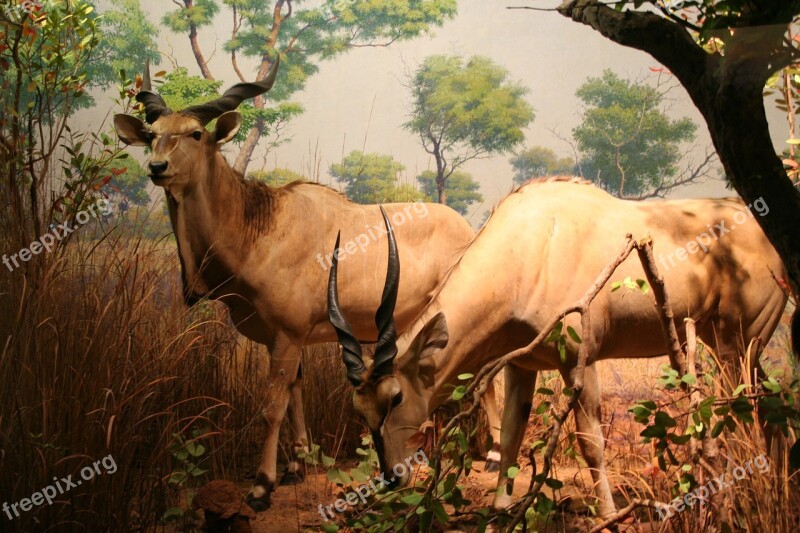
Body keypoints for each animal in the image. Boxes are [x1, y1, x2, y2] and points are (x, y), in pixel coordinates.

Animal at [112, 59, 504, 512]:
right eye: (153, 135)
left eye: (195, 133)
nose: (157, 168)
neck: (259, 227)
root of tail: (470, 229)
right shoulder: (286, 339)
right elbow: (295, 394)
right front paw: (296, 468)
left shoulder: (286, 335)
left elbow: (272, 406)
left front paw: (262, 486)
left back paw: (494, 455)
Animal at [328, 178, 792, 516]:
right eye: (359, 407)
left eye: (396, 396)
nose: (392, 477)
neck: (532, 245)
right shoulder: (522, 365)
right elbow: (511, 437)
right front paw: (500, 509)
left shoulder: (579, 363)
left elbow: (591, 442)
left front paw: (608, 513)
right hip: (730, 342)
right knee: (774, 408)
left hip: (737, 344)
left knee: (744, 411)